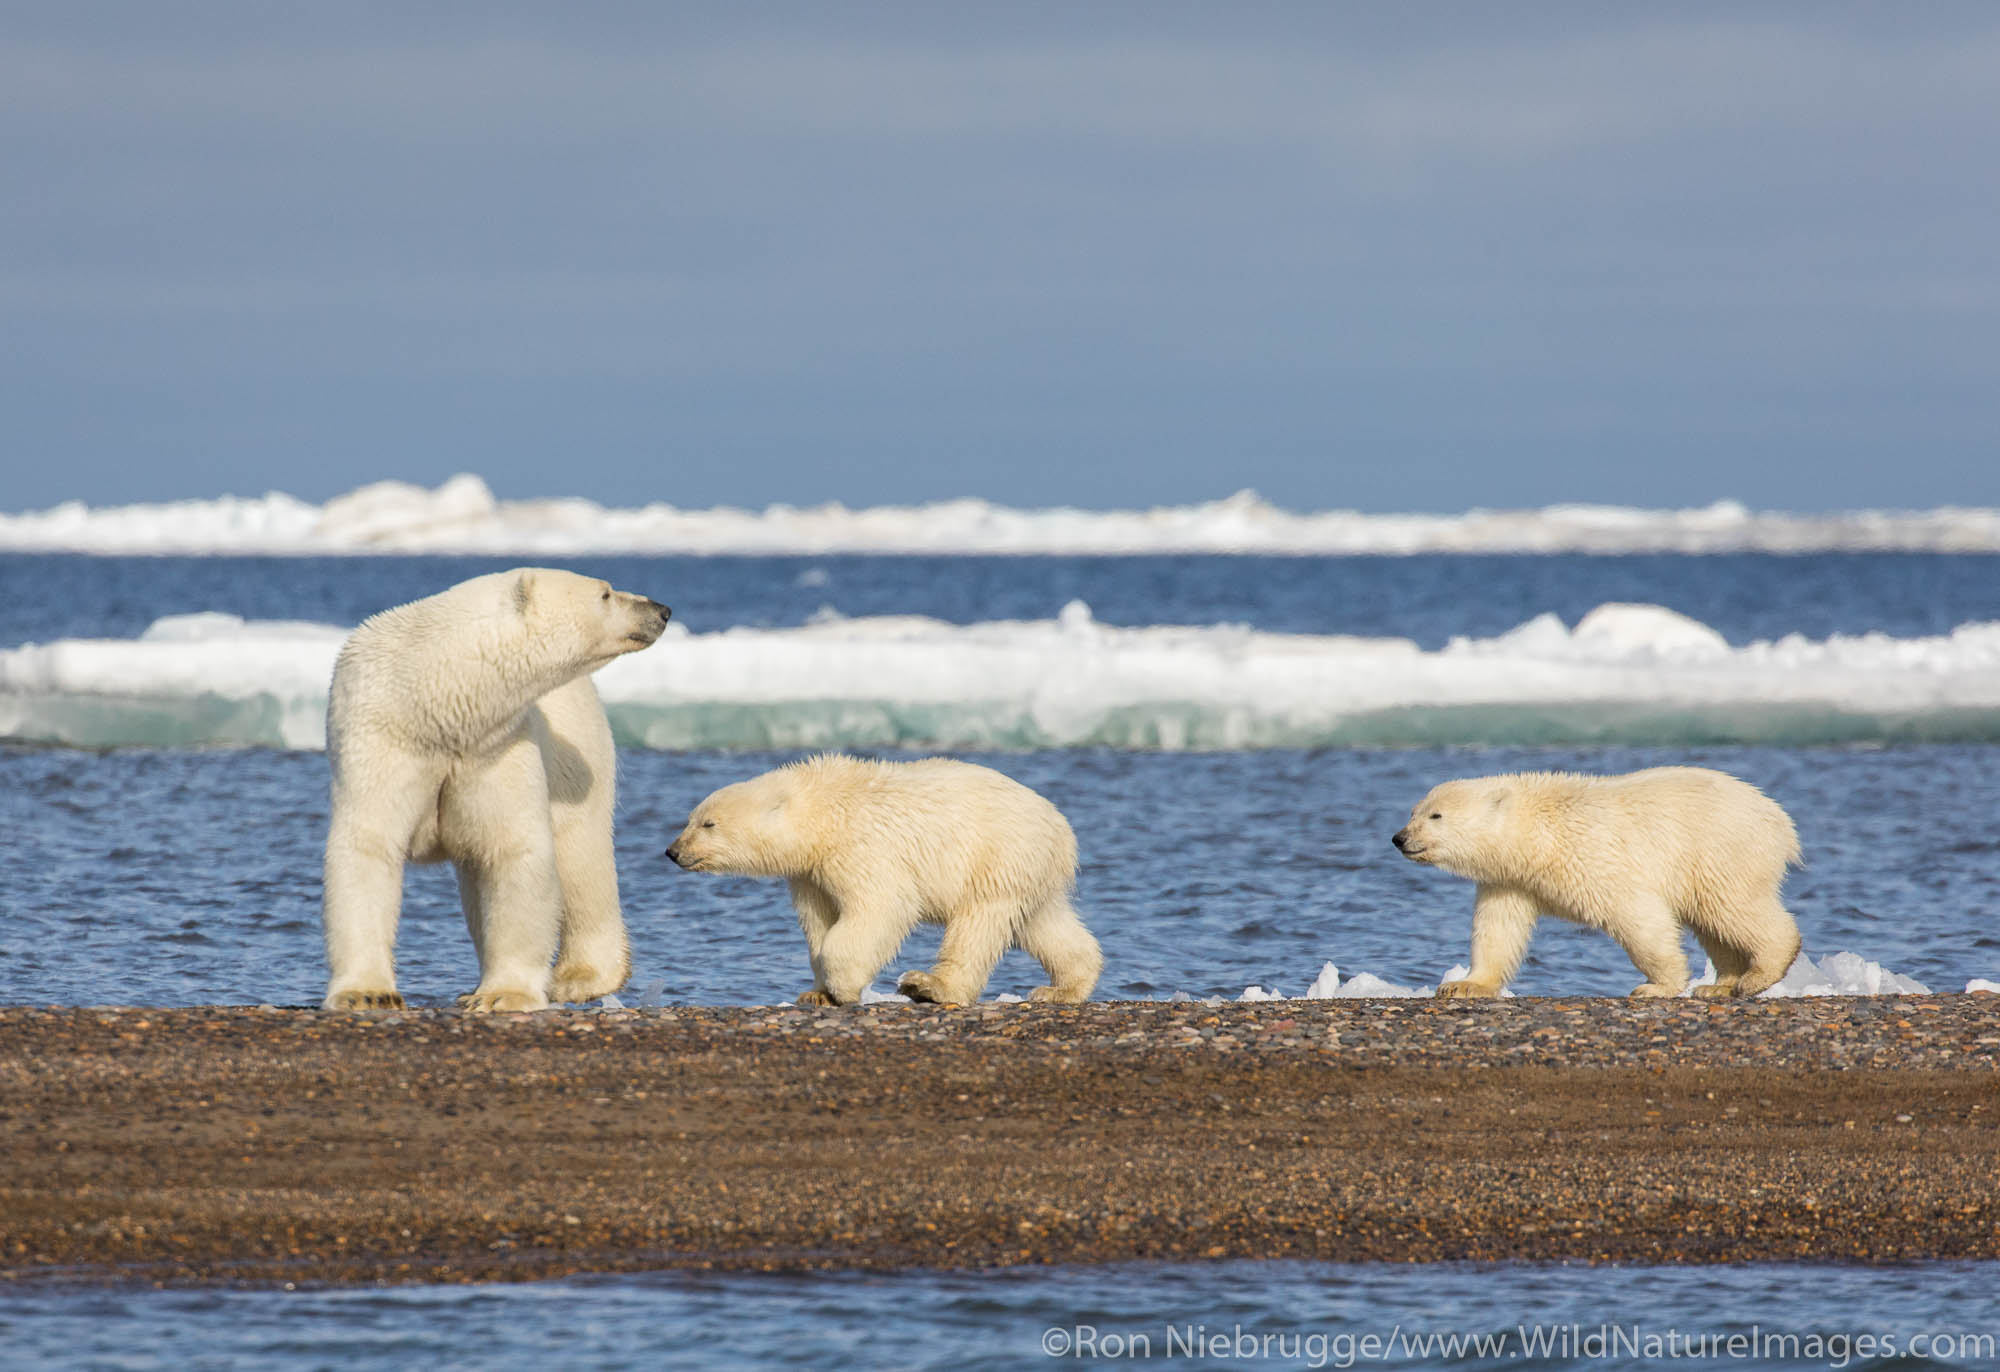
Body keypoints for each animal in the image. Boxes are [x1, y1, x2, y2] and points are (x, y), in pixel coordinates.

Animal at [320, 568, 672, 1012]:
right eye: (606, 594)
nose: (661, 610)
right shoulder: (382, 742)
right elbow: (368, 847)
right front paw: (367, 994)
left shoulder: (497, 746)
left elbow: (512, 850)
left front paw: (502, 995)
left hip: (576, 758)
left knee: (579, 856)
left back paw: (579, 978)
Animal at [672, 752, 1112, 1012]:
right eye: (690, 818)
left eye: (708, 824)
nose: (672, 851)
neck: (822, 812)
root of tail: (1060, 827)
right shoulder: (810, 874)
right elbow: (818, 924)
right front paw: (816, 992)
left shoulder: (862, 848)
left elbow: (880, 908)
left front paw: (845, 989)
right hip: (1029, 871)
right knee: (1043, 924)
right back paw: (1063, 988)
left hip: (995, 856)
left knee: (978, 925)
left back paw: (930, 986)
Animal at [1400, 768, 1808, 1004]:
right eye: (1414, 811)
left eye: (1436, 816)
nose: (1399, 838)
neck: (1538, 833)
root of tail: (1781, 821)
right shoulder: (1511, 880)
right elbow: (1498, 927)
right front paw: (1463, 985)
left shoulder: (1592, 856)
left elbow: (1637, 916)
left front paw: (1656, 986)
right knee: (1713, 924)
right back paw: (1720, 983)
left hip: (1719, 851)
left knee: (1734, 907)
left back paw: (1758, 975)